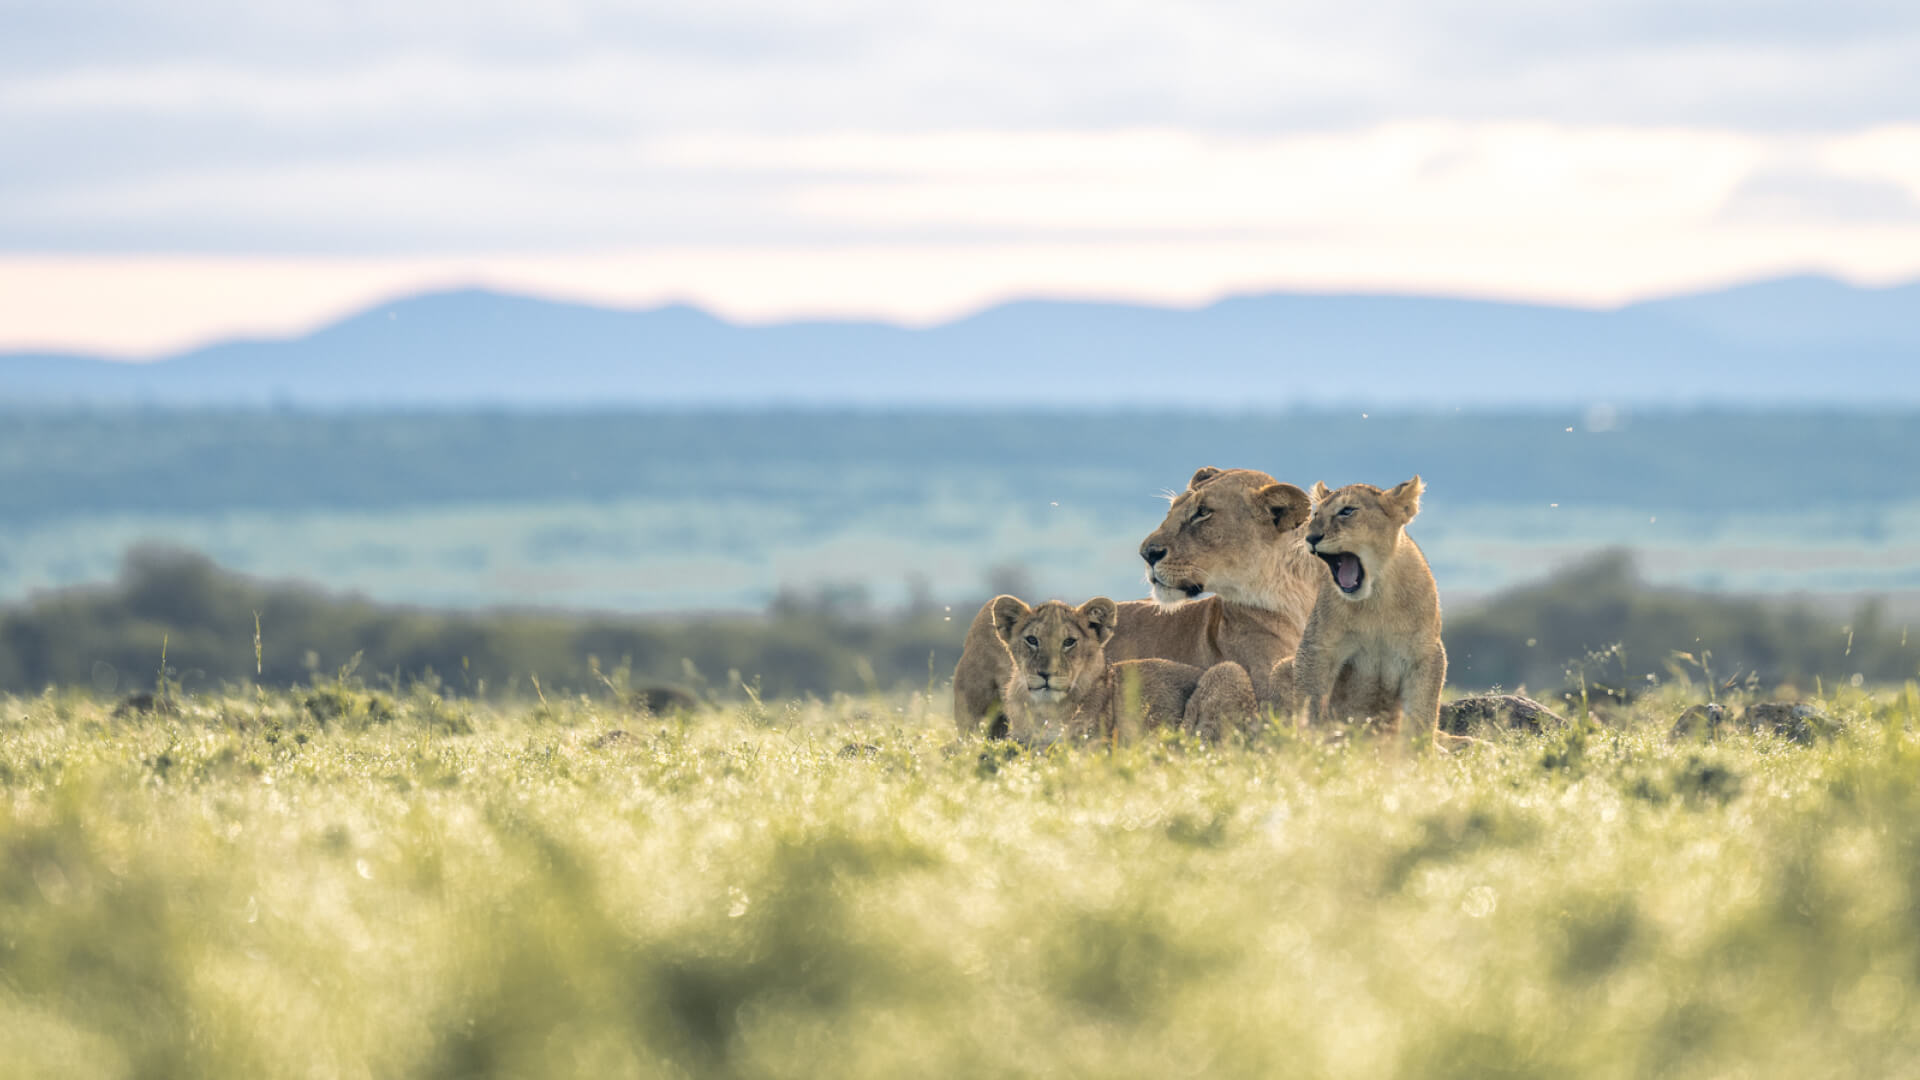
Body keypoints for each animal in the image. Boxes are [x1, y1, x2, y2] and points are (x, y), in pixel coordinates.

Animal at [1288, 475, 1449, 752]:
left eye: (1347, 511)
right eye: (1315, 514)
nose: (1311, 537)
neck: (1377, 599)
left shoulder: (1425, 653)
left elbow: (1422, 713)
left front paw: (1417, 755)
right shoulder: (1318, 647)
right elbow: (1310, 701)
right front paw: (1311, 744)